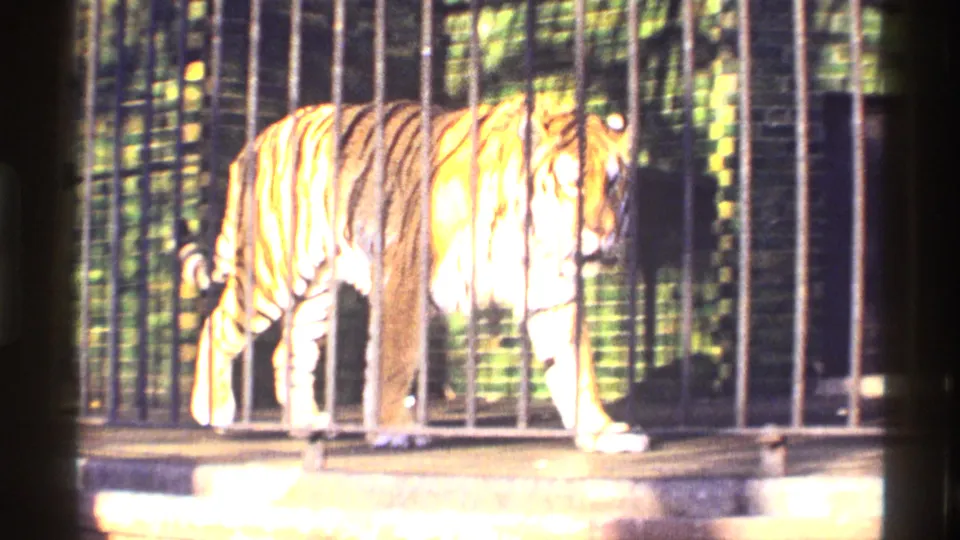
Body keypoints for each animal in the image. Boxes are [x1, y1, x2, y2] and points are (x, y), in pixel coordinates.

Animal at [178, 93, 650, 453]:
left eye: (613, 184)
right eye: (573, 183)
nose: (603, 233)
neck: (534, 240)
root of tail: (259, 138)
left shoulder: (554, 298)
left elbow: (577, 369)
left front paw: (601, 432)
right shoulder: (407, 279)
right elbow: (394, 361)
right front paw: (393, 429)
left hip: (317, 292)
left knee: (290, 350)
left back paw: (306, 422)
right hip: (272, 269)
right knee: (218, 324)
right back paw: (213, 408)